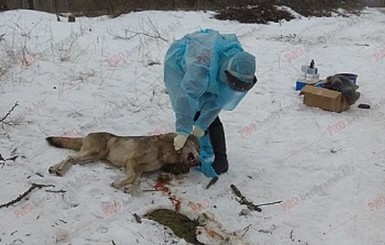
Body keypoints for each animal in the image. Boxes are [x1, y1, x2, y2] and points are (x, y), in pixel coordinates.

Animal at [46, 132, 200, 191]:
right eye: (198, 149)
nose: (201, 163)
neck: (167, 149)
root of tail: (86, 135)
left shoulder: (139, 169)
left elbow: (137, 180)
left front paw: (129, 189)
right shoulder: (132, 162)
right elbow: (134, 178)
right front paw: (118, 184)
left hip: (91, 157)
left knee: (69, 158)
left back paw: (54, 169)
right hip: (94, 154)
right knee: (70, 158)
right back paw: (59, 171)